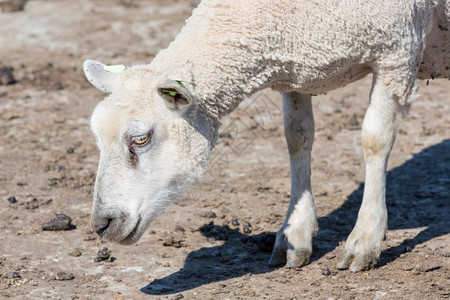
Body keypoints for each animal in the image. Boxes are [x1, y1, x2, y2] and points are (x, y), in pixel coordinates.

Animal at [82, 0, 448, 272]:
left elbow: (375, 140)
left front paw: (365, 240)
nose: (101, 224)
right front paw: (294, 234)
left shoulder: (397, 52)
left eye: (141, 138)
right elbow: (297, 137)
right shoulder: (296, 72)